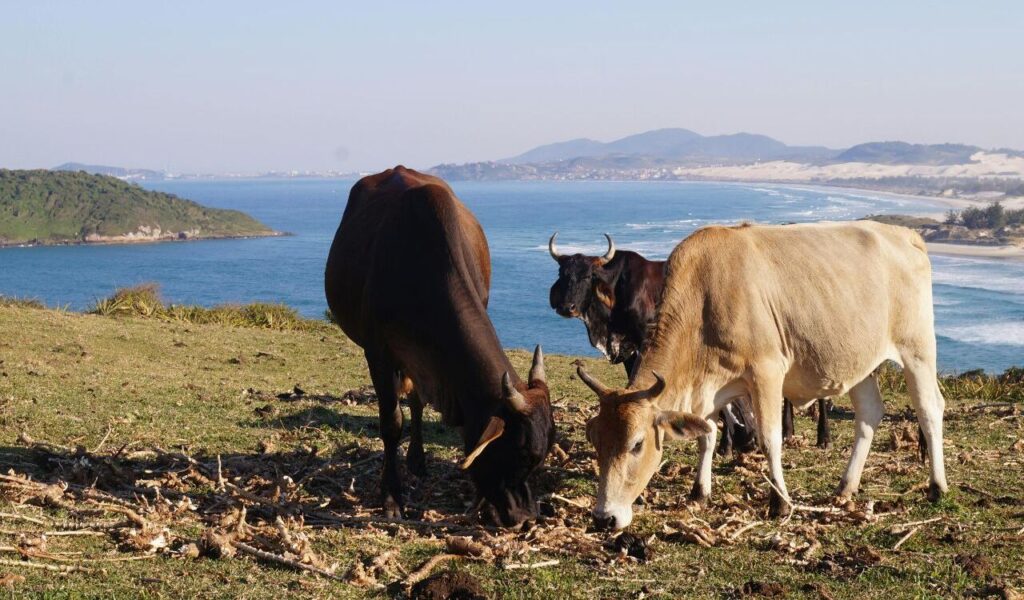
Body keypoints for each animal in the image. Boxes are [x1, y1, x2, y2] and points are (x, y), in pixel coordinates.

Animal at [325, 166, 555, 527]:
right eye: (518, 453)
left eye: (540, 458)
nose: (526, 517)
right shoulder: (378, 353)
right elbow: (391, 423)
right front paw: (391, 498)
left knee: (418, 401)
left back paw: (418, 461)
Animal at [577, 221, 948, 530]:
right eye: (596, 440)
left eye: (637, 444)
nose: (604, 518)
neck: (705, 297)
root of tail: (904, 234)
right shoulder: (711, 388)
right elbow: (707, 435)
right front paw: (700, 492)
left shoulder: (766, 372)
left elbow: (770, 438)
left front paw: (779, 502)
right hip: (861, 364)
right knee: (869, 414)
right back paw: (845, 487)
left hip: (917, 350)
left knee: (930, 409)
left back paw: (937, 487)